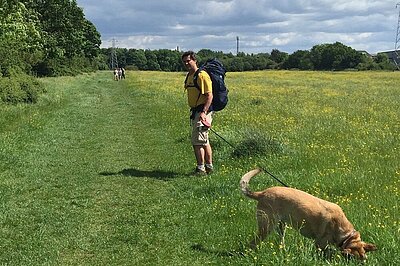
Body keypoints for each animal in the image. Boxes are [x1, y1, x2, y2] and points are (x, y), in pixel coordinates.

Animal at [241, 169, 378, 260]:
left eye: (364, 258)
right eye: (353, 259)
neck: (346, 235)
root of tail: (261, 193)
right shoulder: (320, 243)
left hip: (281, 227)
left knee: (281, 241)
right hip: (266, 227)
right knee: (253, 243)